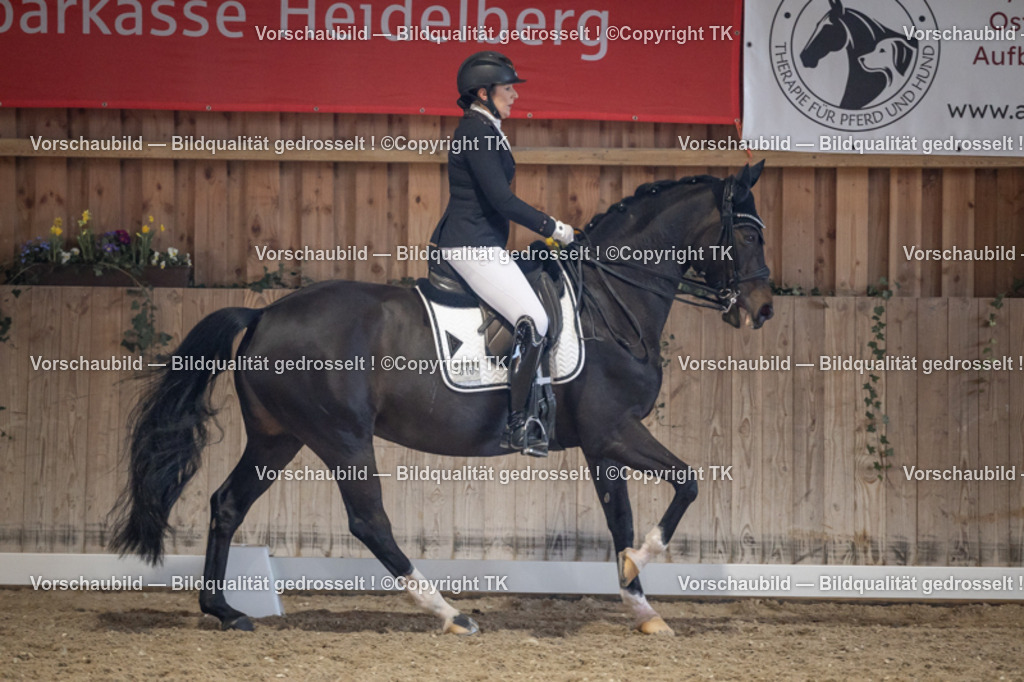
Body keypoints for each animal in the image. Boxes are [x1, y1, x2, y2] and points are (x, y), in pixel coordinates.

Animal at [110, 161, 774, 636]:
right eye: (745, 233)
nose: (763, 309)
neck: (610, 302)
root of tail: (264, 314)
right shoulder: (614, 429)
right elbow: (687, 482)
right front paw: (645, 562)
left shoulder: (600, 442)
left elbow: (622, 518)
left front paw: (641, 604)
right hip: (340, 437)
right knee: (369, 521)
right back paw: (450, 613)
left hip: (280, 436)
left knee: (227, 503)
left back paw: (224, 610)